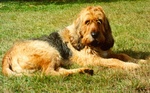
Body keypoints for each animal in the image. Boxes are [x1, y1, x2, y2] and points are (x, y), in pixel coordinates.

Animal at [1, 6, 141, 76]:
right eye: (87, 22)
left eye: (99, 21)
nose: (94, 35)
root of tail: (9, 53)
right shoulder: (93, 59)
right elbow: (114, 60)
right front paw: (131, 65)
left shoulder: (106, 52)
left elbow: (123, 55)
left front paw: (139, 61)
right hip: (50, 52)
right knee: (49, 73)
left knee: (58, 71)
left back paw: (83, 71)